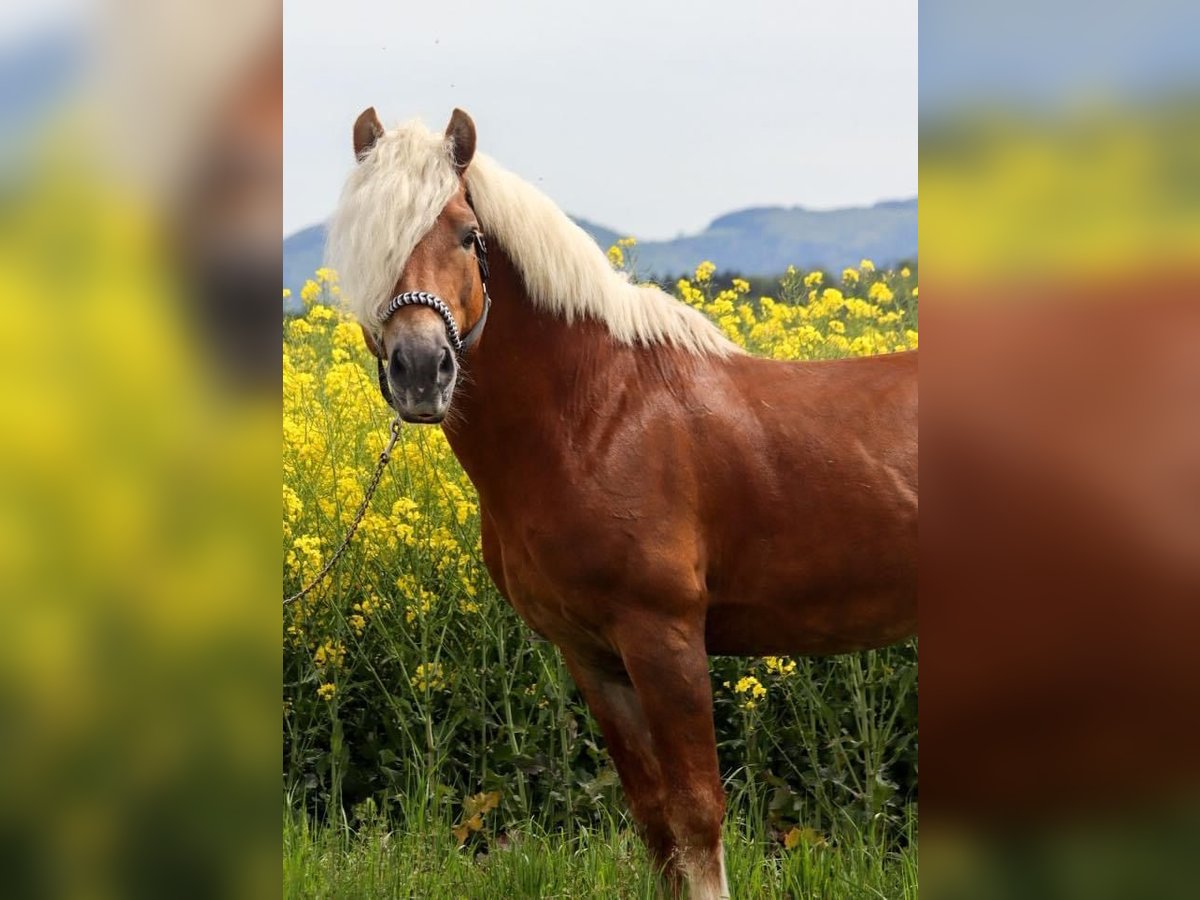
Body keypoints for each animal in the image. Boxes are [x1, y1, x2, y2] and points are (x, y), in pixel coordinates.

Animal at [327, 107, 918, 899]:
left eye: (468, 235)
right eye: (367, 240)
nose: (421, 370)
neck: (599, 415)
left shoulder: (664, 638)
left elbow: (697, 813)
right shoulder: (593, 655)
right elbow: (655, 819)